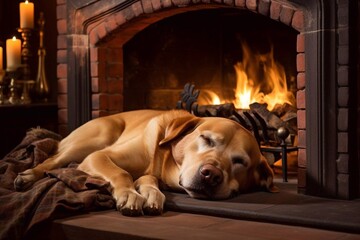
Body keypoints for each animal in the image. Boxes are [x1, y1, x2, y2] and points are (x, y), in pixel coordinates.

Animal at [14, 109, 278, 217]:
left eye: (240, 161)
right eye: (206, 139)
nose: (210, 174)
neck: (163, 158)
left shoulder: (151, 173)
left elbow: (148, 180)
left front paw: (151, 194)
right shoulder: (99, 157)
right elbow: (122, 174)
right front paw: (129, 195)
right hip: (96, 138)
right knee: (51, 161)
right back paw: (27, 176)